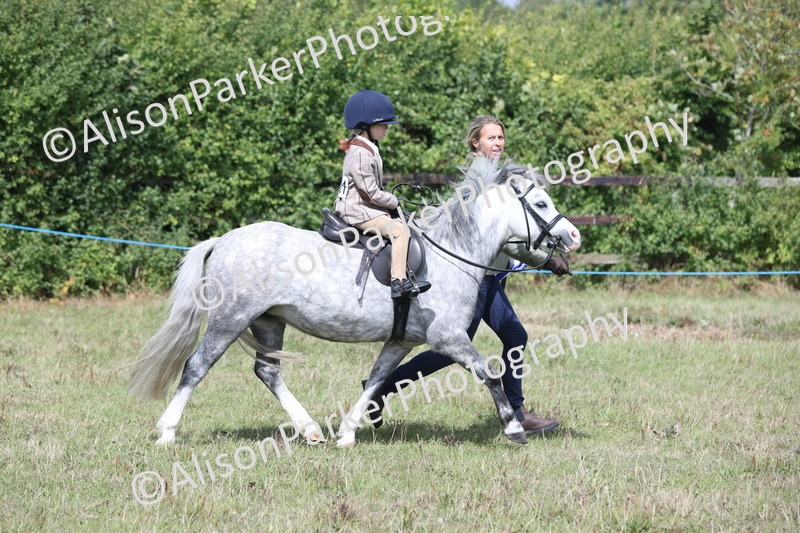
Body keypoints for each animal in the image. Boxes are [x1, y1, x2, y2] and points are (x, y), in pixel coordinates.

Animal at [127, 162, 581, 447]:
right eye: (541, 204)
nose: (573, 237)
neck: (453, 253)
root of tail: (223, 240)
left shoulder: (400, 342)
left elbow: (377, 380)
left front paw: (347, 433)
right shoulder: (448, 337)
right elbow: (489, 372)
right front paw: (513, 428)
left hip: (269, 322)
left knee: (267, 371)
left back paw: (310, 430)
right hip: (231, 318)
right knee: (196, 367)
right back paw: (167, 432)